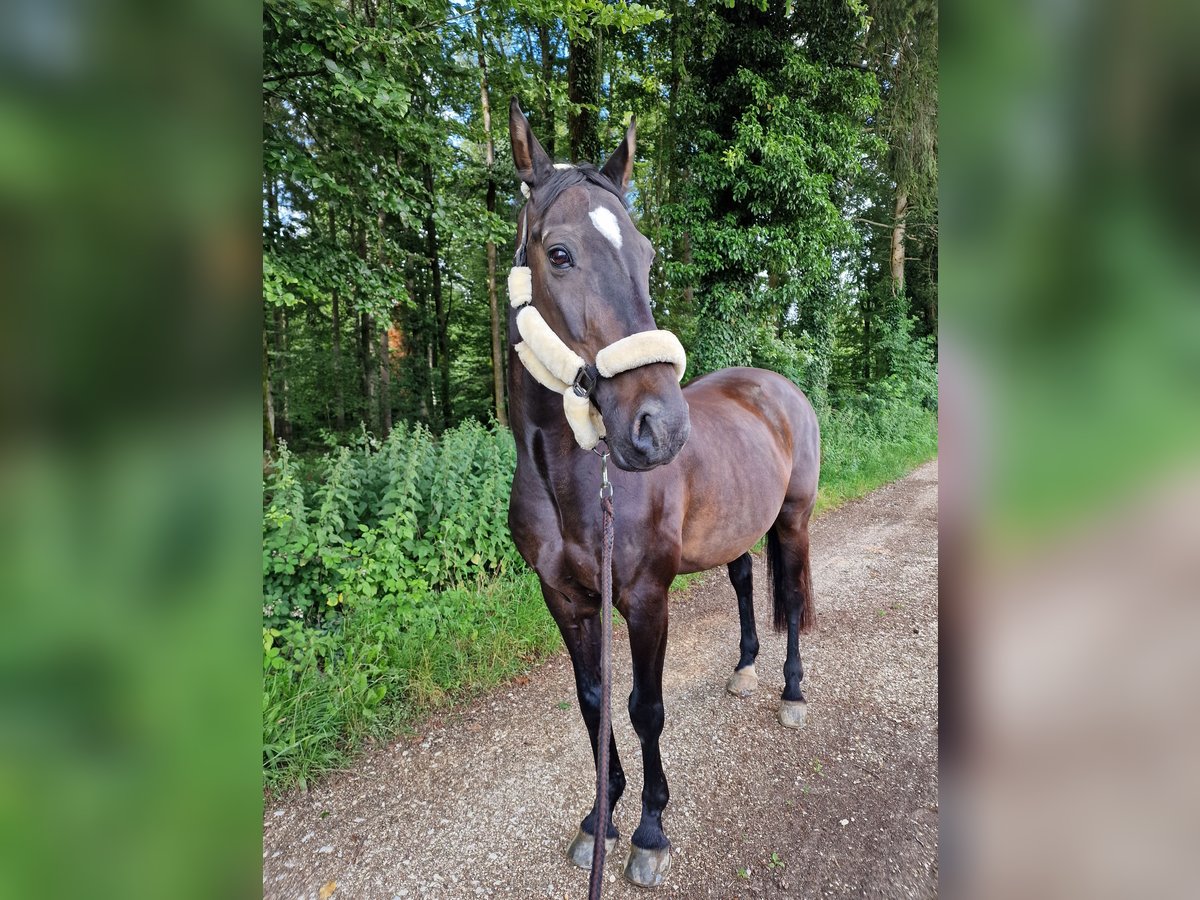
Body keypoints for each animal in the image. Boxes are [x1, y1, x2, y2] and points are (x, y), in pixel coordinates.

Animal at [506, 98, 825, 888]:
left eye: (647, 256)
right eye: (559, 253)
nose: (660, 428)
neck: (570, 482)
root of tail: (778, 387)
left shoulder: (646, 596)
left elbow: (643, 706)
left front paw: (650, 830)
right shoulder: (564, 598)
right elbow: (593, 703)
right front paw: (601, 815)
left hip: (794, 519)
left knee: (792, 593)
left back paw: (791, 693)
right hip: (739, 530)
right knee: (745, 582)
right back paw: (745, 669)